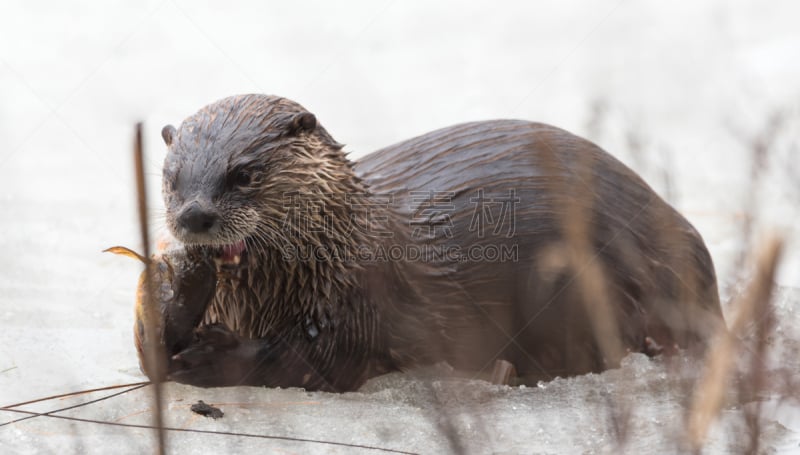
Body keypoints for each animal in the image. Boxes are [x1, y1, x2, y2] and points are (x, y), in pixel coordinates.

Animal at [138, 93, 724, 392]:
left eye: (244, 174)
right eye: (171, 176)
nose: (195, 215)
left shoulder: (357, 300)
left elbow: (314, 362)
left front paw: (213, 357)